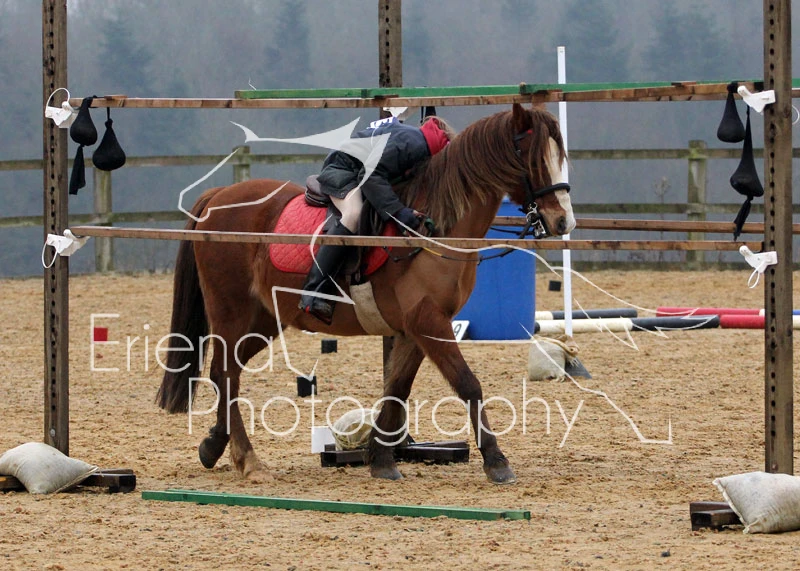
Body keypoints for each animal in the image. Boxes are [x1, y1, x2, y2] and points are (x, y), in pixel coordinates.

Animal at [156, 103, 575, 484]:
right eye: (535, 158)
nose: (562, 222)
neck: (435, 230)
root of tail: (218, 196)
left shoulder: (415, 329)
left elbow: (397, 389)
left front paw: (382, 459)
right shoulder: (430, 323)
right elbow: (468, 384)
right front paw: (496, 461)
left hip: (265, 319)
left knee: (226, 372)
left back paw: (214, 445)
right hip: (232, 312)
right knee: (226, 373)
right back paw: (248, 460)